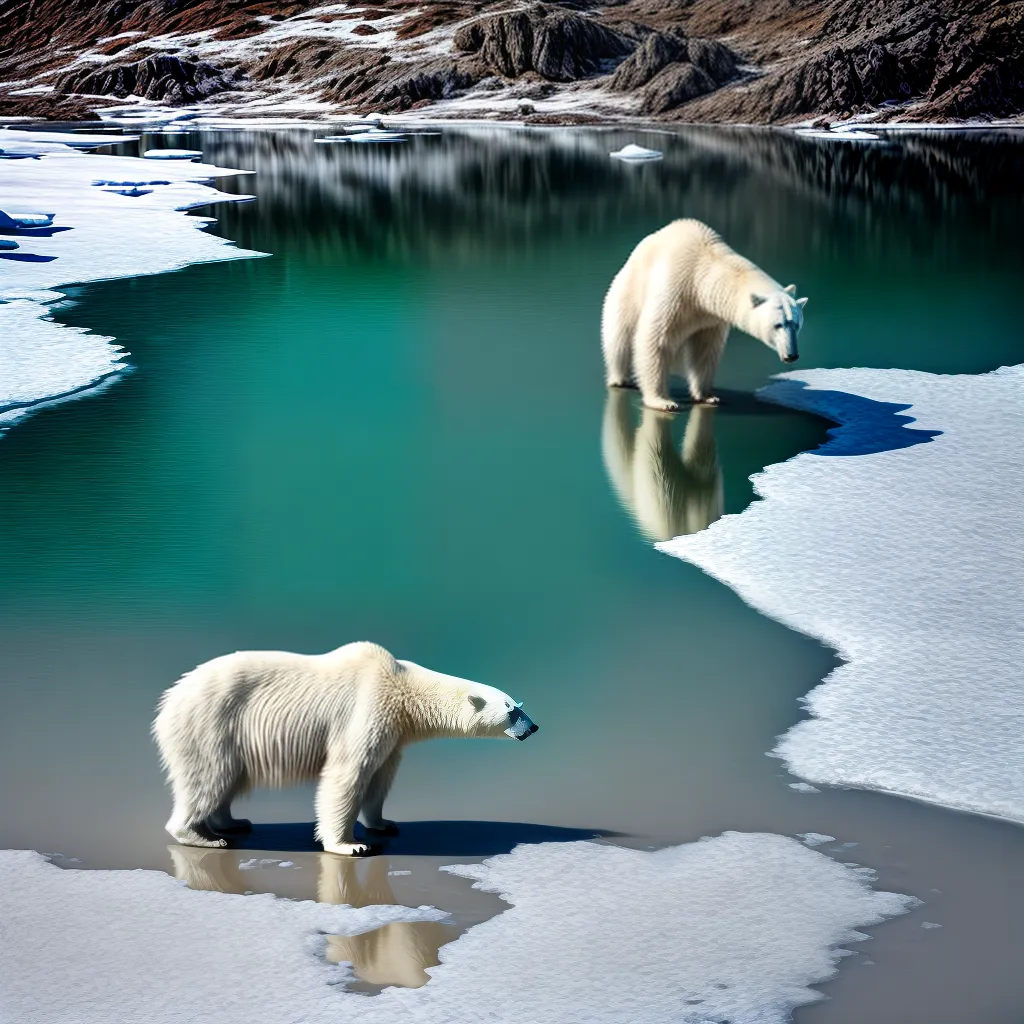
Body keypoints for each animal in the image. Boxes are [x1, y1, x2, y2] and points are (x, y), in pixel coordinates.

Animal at [153, 642, 538, 857]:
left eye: (519, 704)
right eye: (511, 709)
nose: (533, 727)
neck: (403, 687)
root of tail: (168, 700)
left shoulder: (393, 731)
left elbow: (380, 778)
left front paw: (384, 824)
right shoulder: (368, 706)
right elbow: (348, 774)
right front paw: (350, 844)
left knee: (226, 781)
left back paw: (232, 823)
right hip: (210, 725)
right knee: (208, 778)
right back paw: (202, 837)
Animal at [601, 219, 808, 411]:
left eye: (796, 325)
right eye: (778, 325)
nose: (791, 355)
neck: (701, 278)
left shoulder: (711, 316)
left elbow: (706, 349)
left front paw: (708, 396)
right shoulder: (675, 292)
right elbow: (656, 339)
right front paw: (663, 401)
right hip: (629, 288)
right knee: (619, 335)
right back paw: (619, 378)